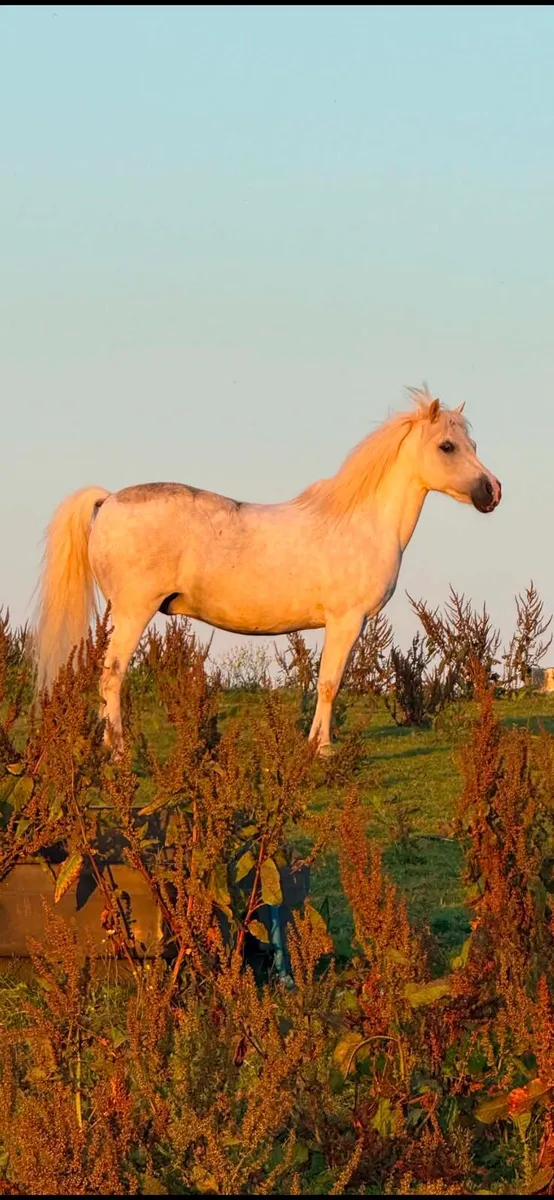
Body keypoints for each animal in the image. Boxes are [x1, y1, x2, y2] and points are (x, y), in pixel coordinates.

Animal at [34, 386, 501, 751]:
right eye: (447, 446)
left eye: (474, 446)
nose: (493, 491)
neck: (360, 521)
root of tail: (110, 499)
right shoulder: (346, 621)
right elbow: (330, 683)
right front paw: (322, 750)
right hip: (133, 611)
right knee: (111, 676)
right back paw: (117, 750)